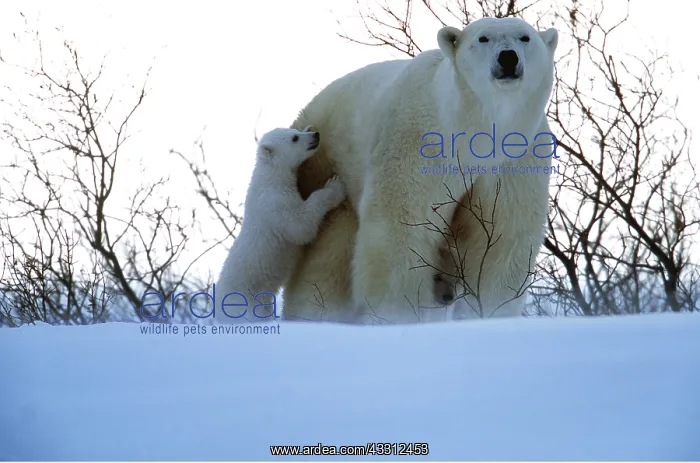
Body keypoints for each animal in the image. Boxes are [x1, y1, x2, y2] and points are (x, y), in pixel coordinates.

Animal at [213, 127, 347, 324]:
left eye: (296, 131)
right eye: (294, 138)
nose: (315, 134)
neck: (270, 175)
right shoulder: (275, 202)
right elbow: (300, 225)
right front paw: (335, 186)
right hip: (243, 302)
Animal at [282, 17, 559, 324]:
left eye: (525, 37)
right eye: (483, 38)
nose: (508, 58)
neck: (474, 128)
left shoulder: (514, 158)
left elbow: (502, 236)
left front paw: (490, 313)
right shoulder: (421, 142)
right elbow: (403, 225)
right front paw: (395, 313)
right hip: (330, 165)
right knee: (325, 262)